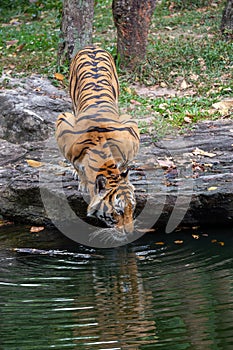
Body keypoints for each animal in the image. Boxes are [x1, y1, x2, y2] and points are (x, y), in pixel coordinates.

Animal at [55, 45, 139, 234]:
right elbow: (77, 166)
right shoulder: (63, 123)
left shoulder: (131, 128)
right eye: (118, 211)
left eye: (133, 207)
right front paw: (83, 183)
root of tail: (92, 46)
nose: (130, 232)